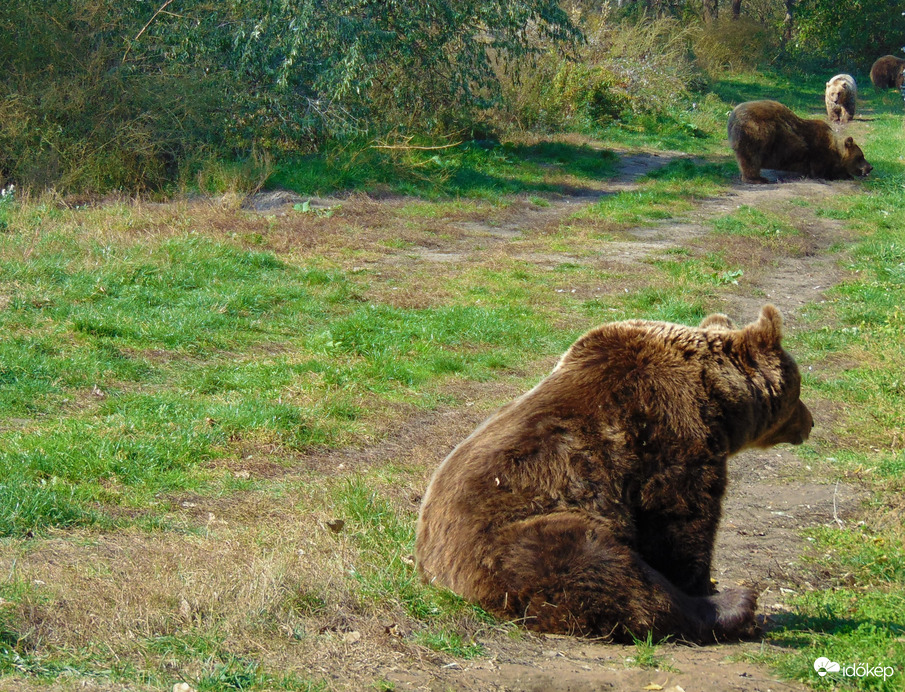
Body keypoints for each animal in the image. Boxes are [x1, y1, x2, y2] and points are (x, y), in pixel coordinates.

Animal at [416, 306, 812, 644]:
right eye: (799, 389)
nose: (810, 422)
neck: (718, 398)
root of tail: (435, 577)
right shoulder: (672, 430)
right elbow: (682, 519)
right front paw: (704, 584)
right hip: (517, 537)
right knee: (603, 567)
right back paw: (737, 605)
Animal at [728, 99, 868, 184]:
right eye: (860, 156)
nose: (870, 167)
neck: (835, 150)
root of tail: (733, 116)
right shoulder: (819, 152)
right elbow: (821, 171)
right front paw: (841, 175)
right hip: (757, 133)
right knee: (752, 159)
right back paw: (758, 178)